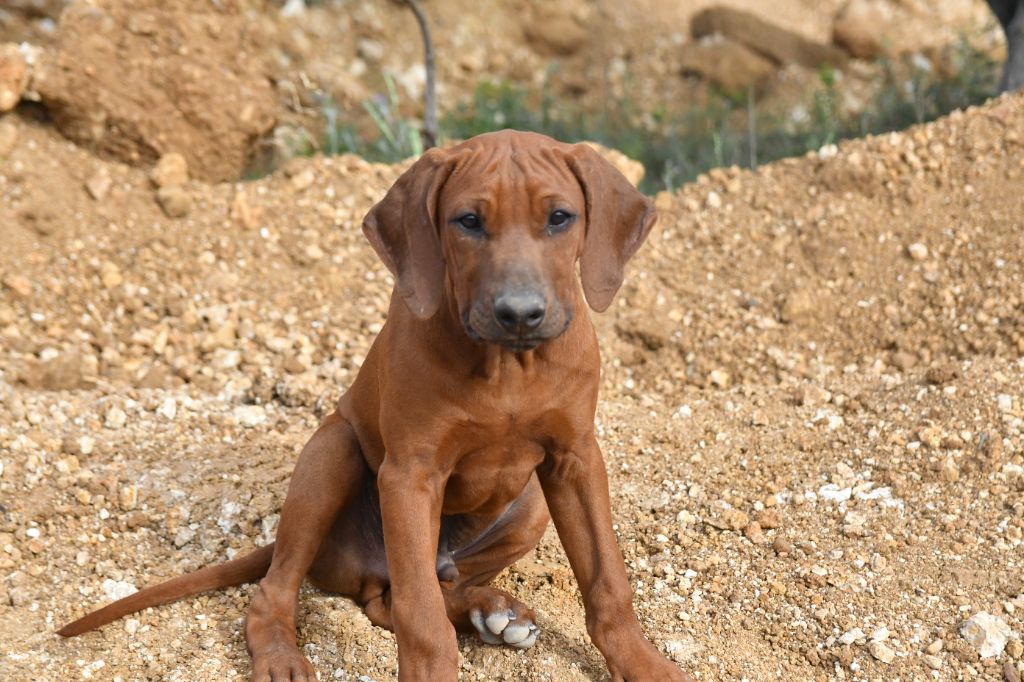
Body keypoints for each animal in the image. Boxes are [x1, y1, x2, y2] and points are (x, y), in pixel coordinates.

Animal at [58, 129, 696, 679]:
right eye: (468, 222)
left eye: (560, 218)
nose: (519, 313)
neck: (507, 365)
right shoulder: (410, 474)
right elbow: (422, 622)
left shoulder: (575, 459)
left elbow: (608, 584)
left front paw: (646, 665)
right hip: (331, 455)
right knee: (297, 591)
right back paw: (283, 656)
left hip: (531, 505)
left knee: (414, 592)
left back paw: (490, 609)